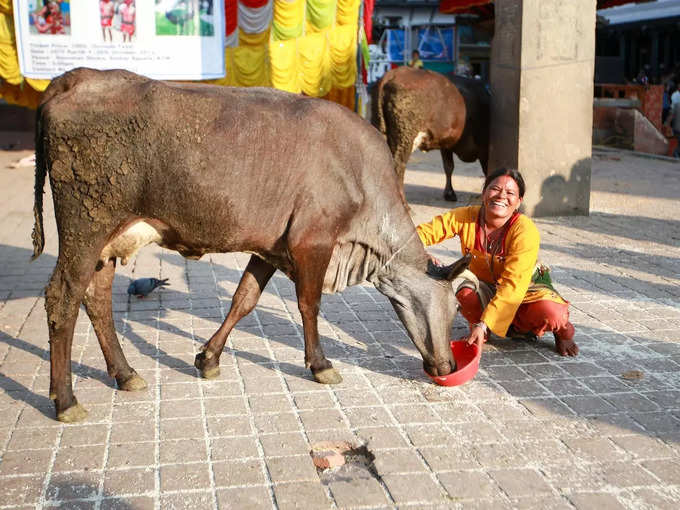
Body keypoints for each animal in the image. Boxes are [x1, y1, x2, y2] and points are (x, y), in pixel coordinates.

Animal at [372, 66, 488, 202]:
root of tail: (392, 74)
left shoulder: (446, 144)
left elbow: (449, 167)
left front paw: (449, 193)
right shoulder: (484, 146)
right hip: (405, 139)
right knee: (398, 167)